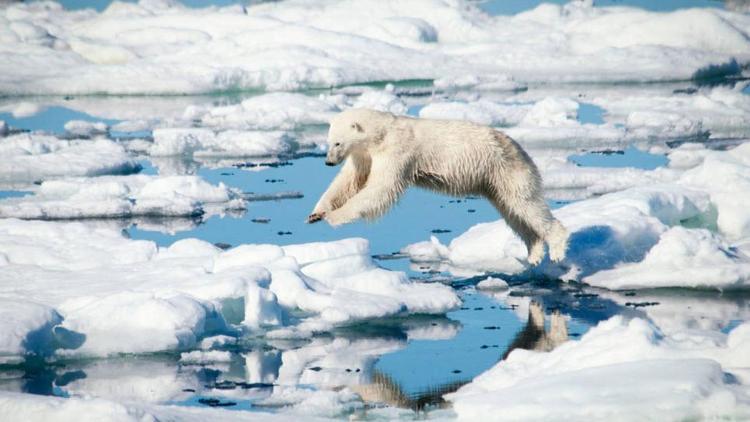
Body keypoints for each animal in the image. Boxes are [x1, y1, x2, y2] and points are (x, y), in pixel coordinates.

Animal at [308, 109, 568, 264]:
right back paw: (534, 252)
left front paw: (334, 216)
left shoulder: (397, 152)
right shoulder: (364, 155)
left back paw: (556, 248)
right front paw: (316, 213)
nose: (328, 161)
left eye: (337, 142)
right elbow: (349, 181)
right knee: (513, 212)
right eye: (328, 142)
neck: (382, 133)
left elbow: (380, 188)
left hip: (507, 169)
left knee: (526, 204)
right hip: (495, 182)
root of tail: (519, 148)